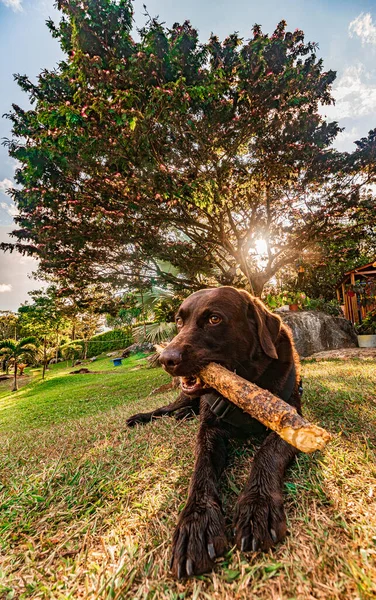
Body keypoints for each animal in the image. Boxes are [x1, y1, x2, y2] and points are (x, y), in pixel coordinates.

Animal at [127, 288, 302, 580]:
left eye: (214, 319)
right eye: (179, 321)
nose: (166, 360)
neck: (244, 383)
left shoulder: (292, 422)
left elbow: (267, 454)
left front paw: (258, 504)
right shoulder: (209, 431)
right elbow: (202, 469)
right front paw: (197, 523)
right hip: (182, 396)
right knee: (167, 407)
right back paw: (142, 417)